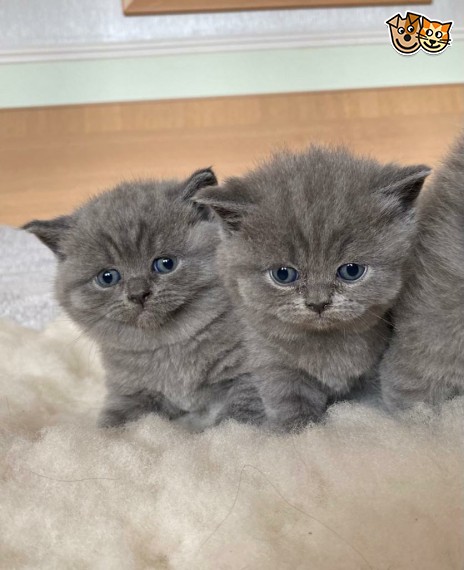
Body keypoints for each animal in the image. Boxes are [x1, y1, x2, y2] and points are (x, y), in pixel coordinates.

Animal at [24, 168, 264, 426]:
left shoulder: (251, 376)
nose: (138, 293)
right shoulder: (129, 393)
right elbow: (112, 424)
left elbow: (237, 418)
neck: (170, 348)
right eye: (107, 277)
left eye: (165, 264)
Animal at [193, 144, 432, 428]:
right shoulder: (269, 359)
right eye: (283, 275)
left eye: (351, 271)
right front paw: (298, 429)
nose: (318, 303)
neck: (328, 346)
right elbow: (291, 404)